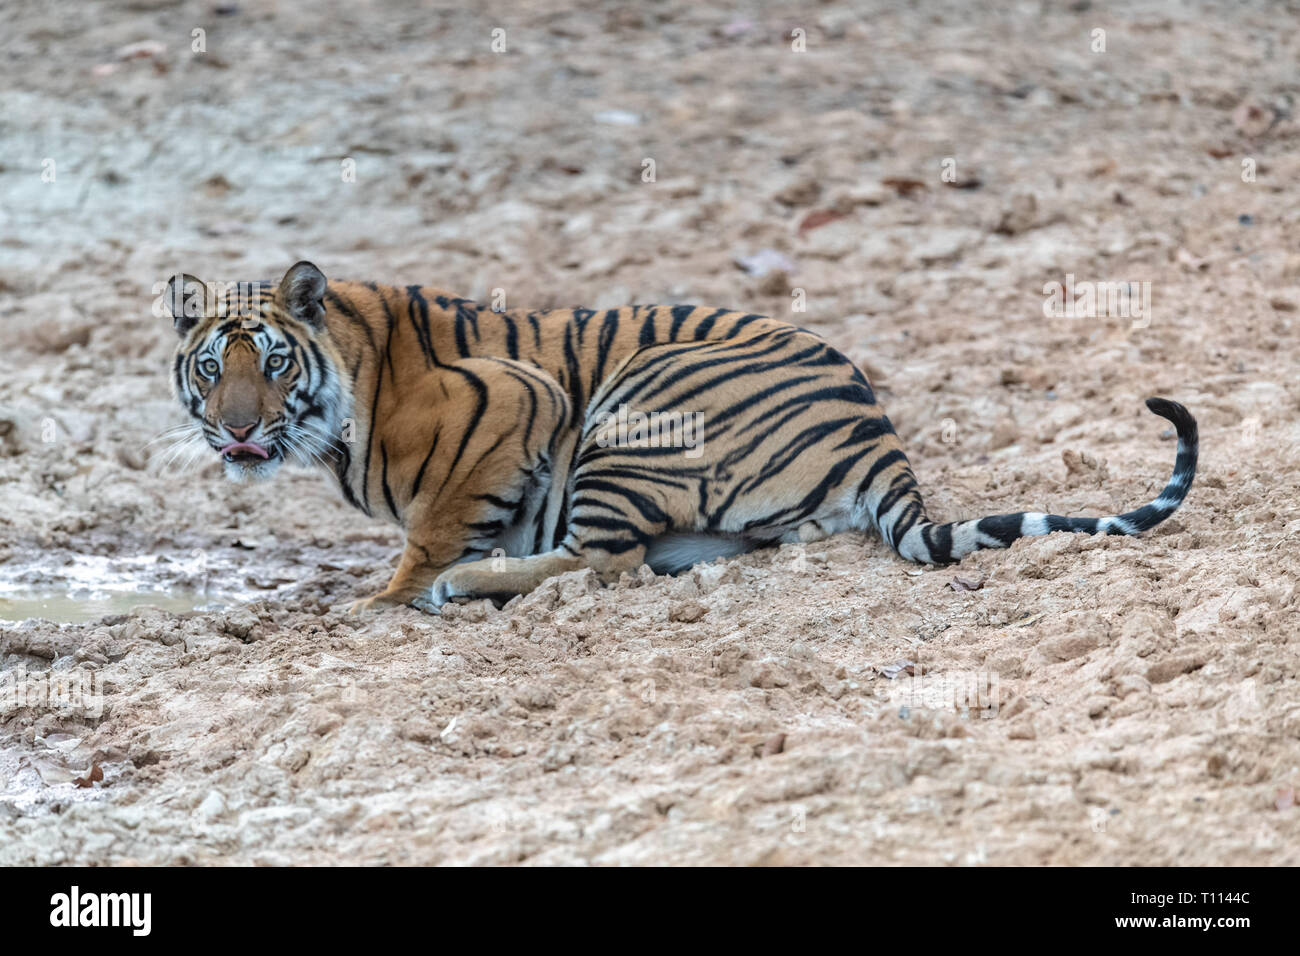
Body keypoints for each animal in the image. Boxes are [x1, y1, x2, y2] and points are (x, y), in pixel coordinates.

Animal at [163, 260, 1198, 613]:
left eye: (275, 363)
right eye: (213, 369)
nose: (238, 430)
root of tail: (876, 432)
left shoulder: (513, 400)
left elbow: (431, 531)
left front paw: (382, 599)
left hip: (633, 409)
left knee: (603, 564)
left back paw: (468, 587)